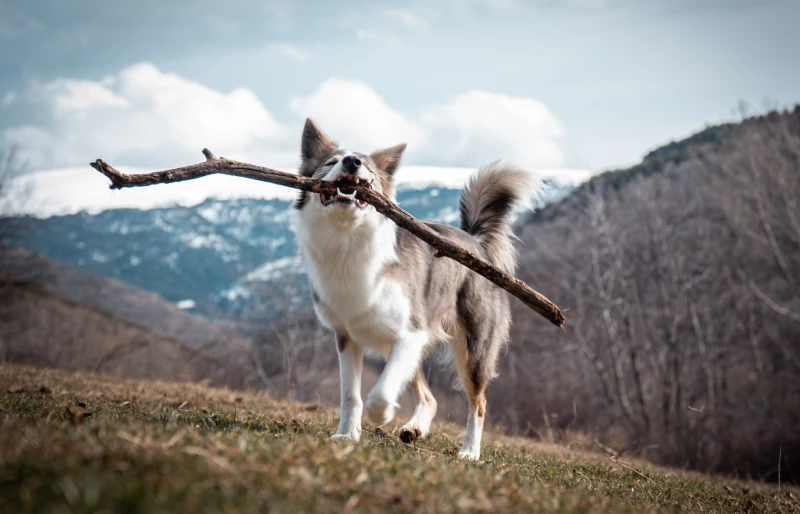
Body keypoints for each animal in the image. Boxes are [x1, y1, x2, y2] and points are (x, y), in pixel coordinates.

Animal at [290, 118, 536, 458]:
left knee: (479, 402)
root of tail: (476, 244)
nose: (351, 162)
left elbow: (381, 391)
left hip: (473, 349)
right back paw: (415, 428)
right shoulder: (347, 337)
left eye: (368, 168)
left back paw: (470, 452)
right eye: (330, 162)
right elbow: (350, 394)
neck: (346, 238)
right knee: (430, 397)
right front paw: (347, 435)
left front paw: (381, 414)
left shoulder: (411, 333)